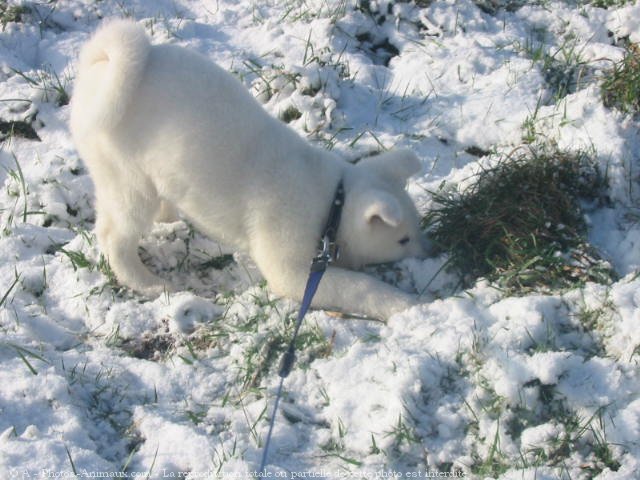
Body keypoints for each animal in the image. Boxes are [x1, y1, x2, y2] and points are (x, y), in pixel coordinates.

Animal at [70, 19, 428, 318]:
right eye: (403, 240)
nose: (428, 252)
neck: (333, 201)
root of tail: (100, 67)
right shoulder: (292, 268)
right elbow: (359, 288)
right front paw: (402, 303)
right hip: (127, 180)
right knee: (114, 236)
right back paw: (146, 282)